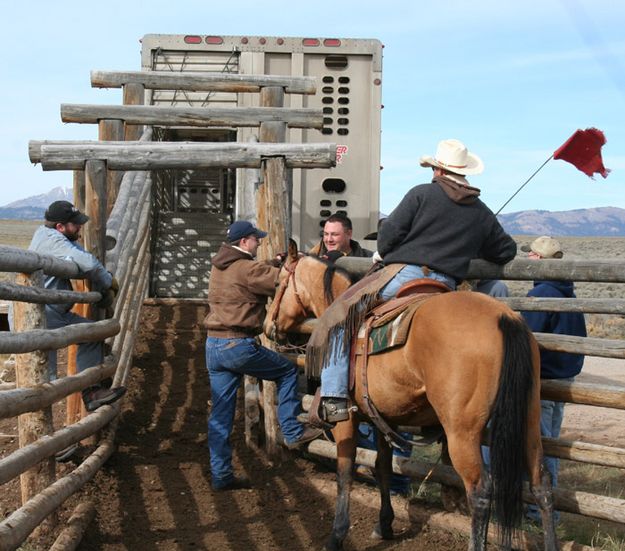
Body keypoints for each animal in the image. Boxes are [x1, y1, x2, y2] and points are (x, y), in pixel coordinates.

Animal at [264, 246, 560, 551]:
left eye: (277, 284)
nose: (267, 327)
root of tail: (504, 318)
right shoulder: (382, 418)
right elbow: (383, 466)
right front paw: (384, 525)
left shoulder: (347, 420)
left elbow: (344, 471)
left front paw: (336, 535)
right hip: (529, 419)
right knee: (542, 484)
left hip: (463, 433)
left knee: (480, 491)